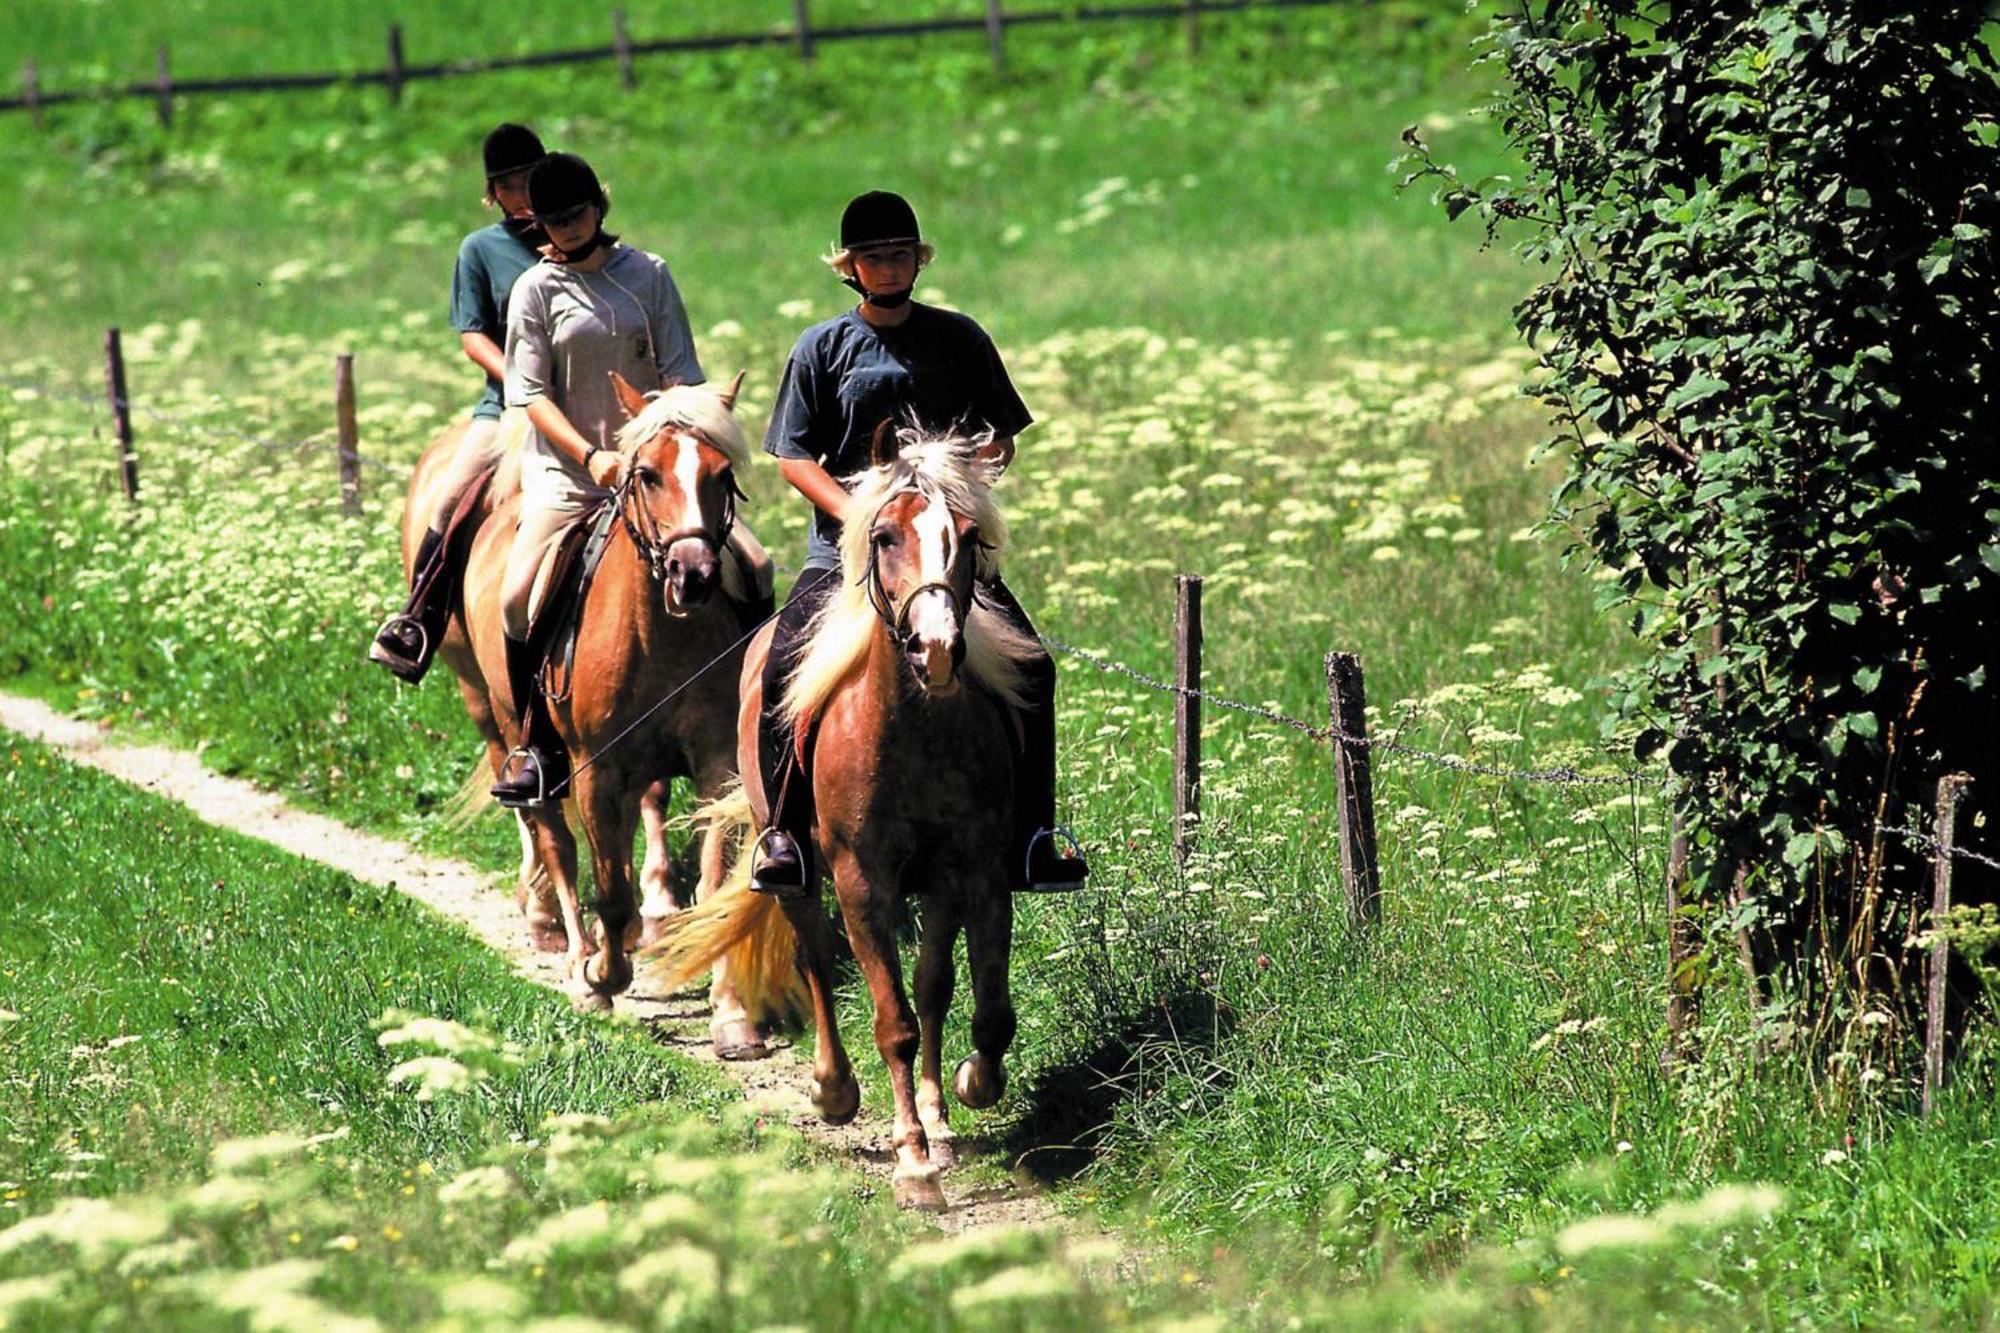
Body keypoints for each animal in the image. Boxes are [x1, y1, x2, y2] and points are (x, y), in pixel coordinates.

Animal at [398, 374, 780, 1048]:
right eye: (647, 475)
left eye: (721, 472)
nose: (694, 573)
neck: (659, 631)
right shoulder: (597, 770)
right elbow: (609, 888)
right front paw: (603, 975)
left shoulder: (714, 766)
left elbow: (707, 883)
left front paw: (731, 1015)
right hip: (502, 720)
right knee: (553, 838)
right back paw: (570, 946)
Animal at [644, 422, 1048, 1200]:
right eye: (885, 536)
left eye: (968, 535)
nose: (937, 648)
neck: (914, 730)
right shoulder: (863, 882)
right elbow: (892, 1018)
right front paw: (914, 1161)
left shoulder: (973, 872)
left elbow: (978, 1007)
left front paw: (962, 1095)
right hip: (794, 870)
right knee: (811, 957)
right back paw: (834, 1091)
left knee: (930, 987)